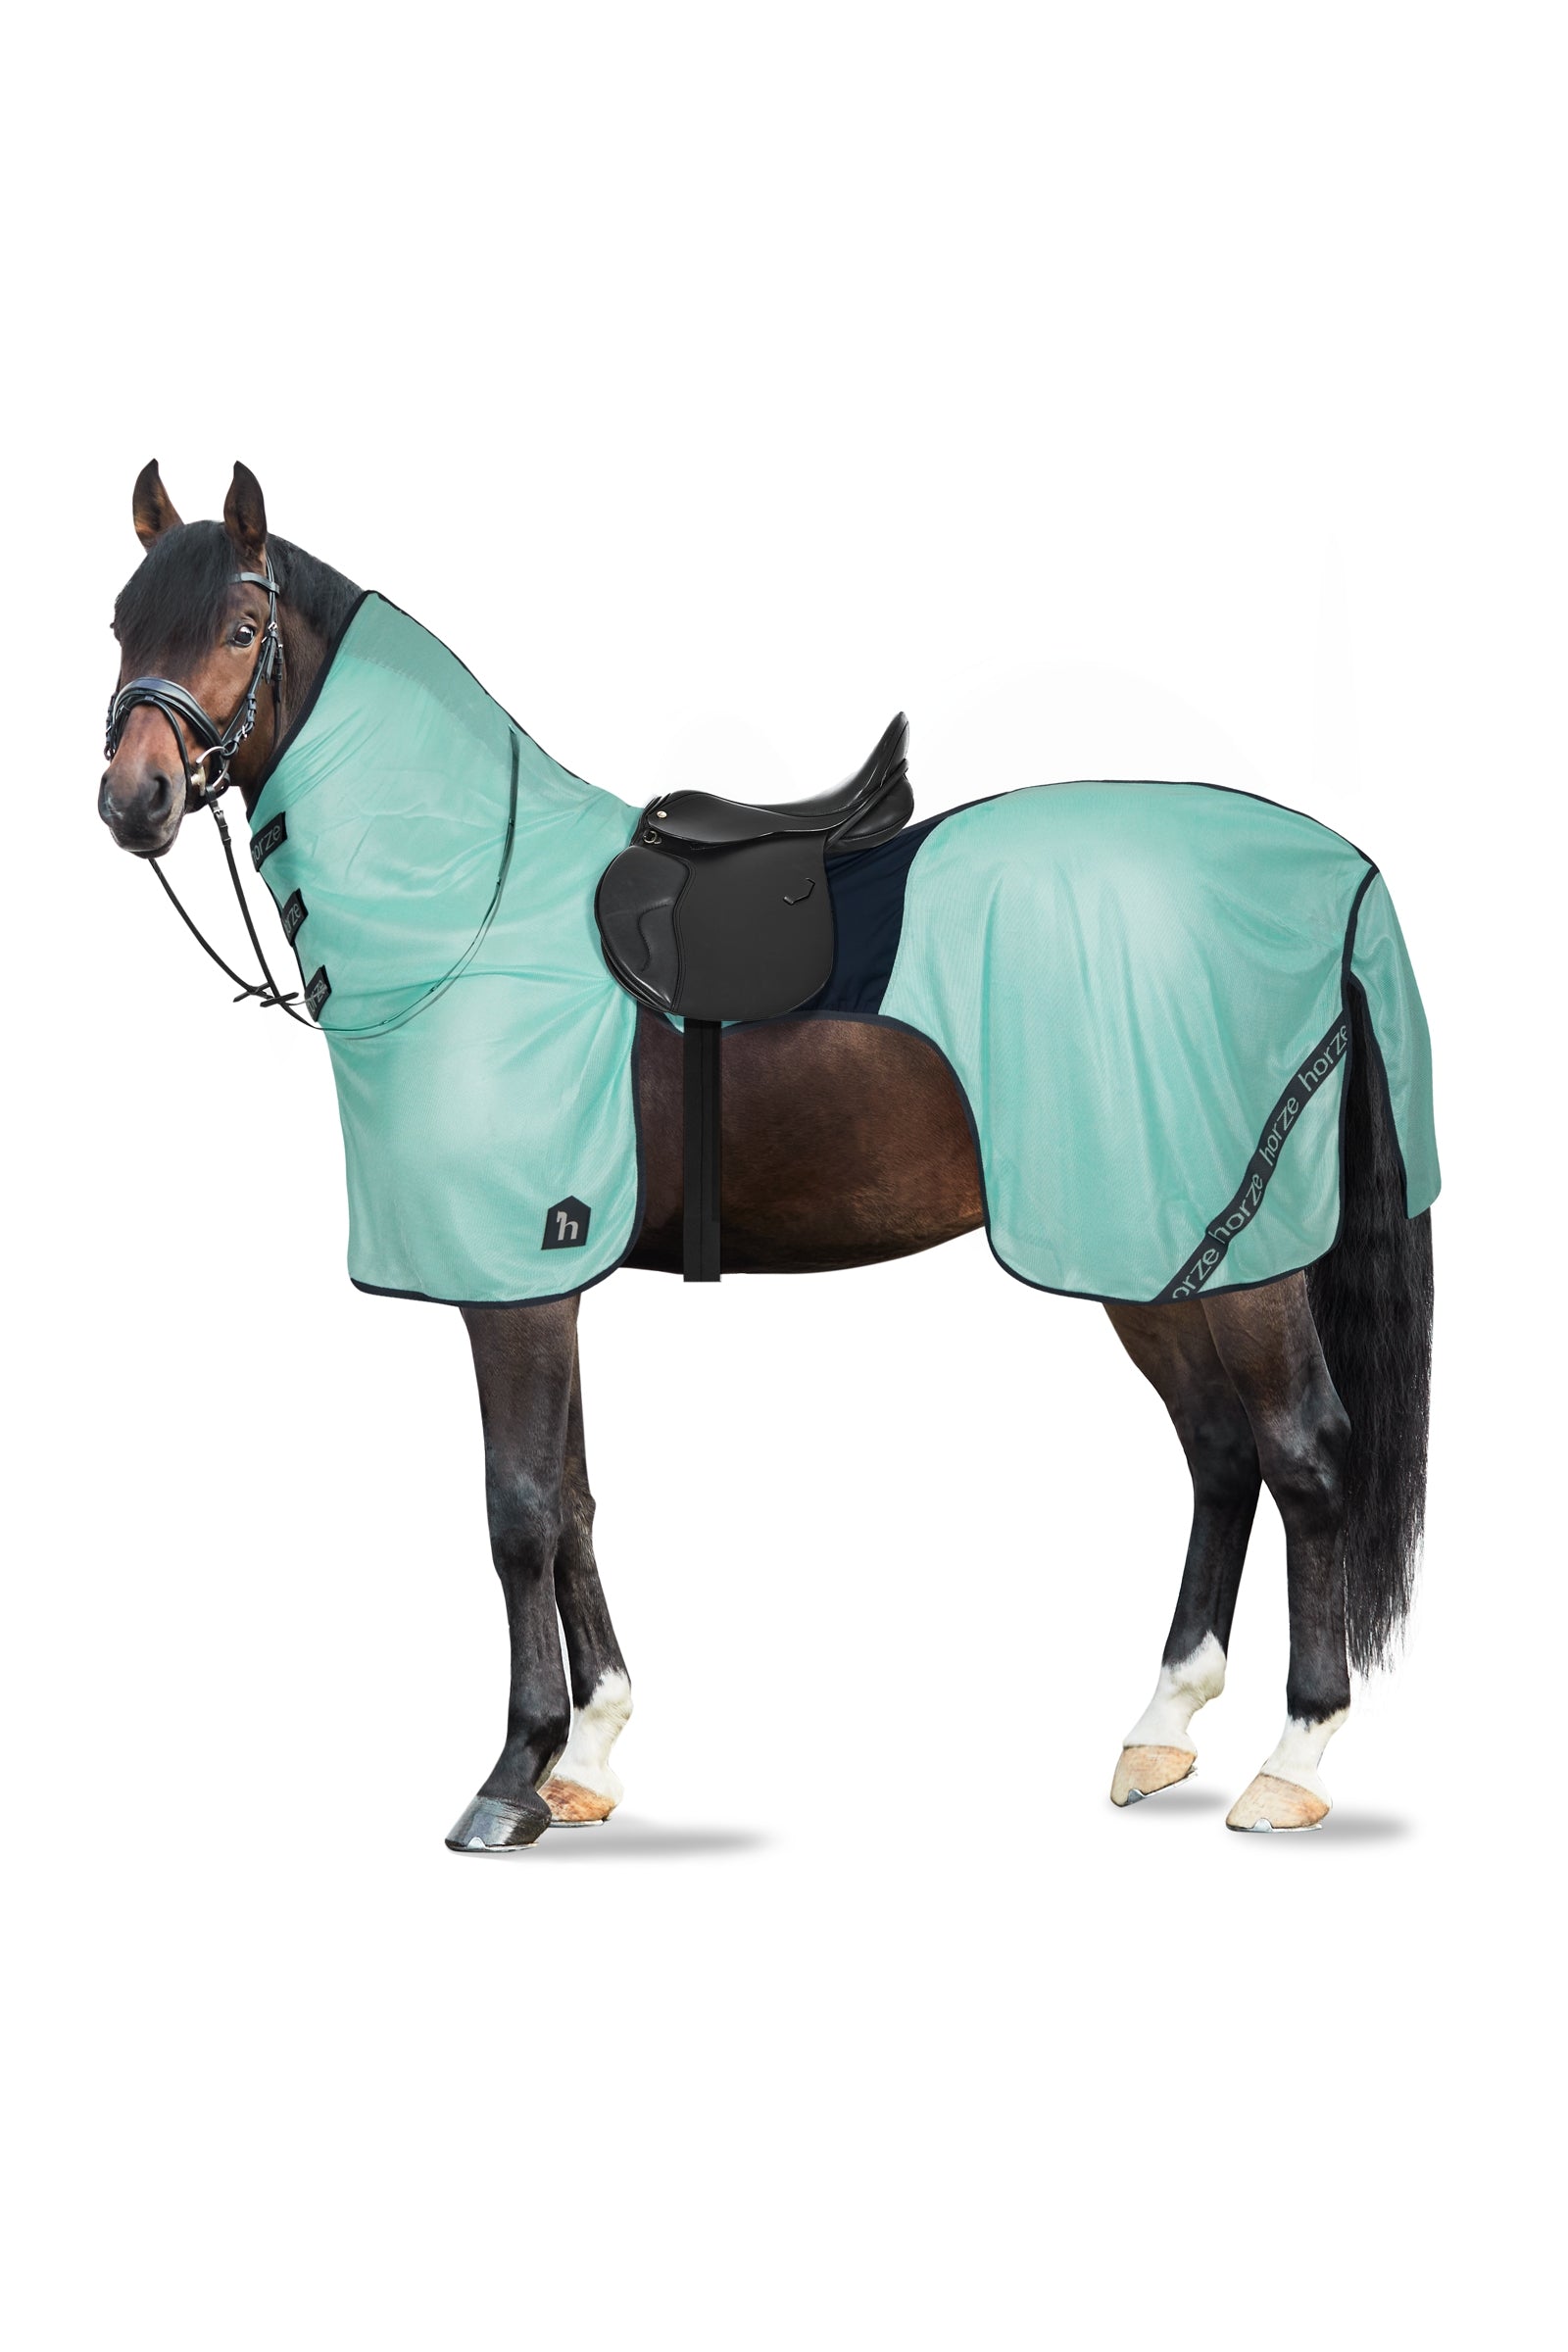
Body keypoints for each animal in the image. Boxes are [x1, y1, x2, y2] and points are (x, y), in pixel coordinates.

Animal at [98, 459, 1436, 1849]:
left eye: (238, 630)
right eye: (121, 627)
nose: (134, 802)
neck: (472, 899)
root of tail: (1340, 871)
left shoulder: (511, 1283)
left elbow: (518, 1511)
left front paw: (512, 1774)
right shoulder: (550, 1279)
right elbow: (574, 1501)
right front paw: (589, 1756)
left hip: (1233, 1253)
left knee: (1305, 1456)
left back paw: (1293, 1758)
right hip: (1151, 1249)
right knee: (1221, 1454)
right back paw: (1162, 1729)